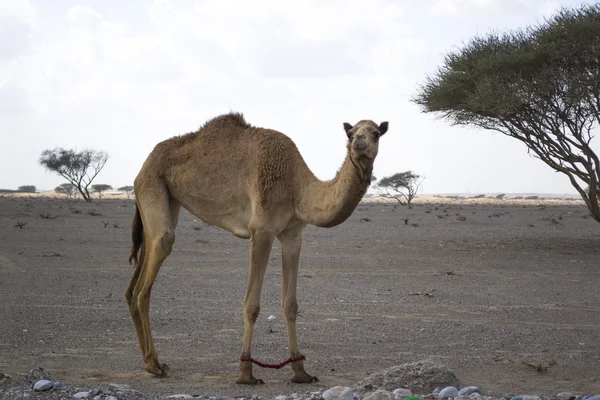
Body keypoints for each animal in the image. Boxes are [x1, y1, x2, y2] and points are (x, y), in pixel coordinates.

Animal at [126, 111, 390, 384]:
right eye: (350, 133)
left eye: (376, 133)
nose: (358, 142)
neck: (296, 187)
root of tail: (144, 165)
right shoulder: (261, 229)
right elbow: (251, 305)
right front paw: (246, 372)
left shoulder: (293, 234)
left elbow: (290, 305)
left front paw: (300, 371)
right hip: (152, 184)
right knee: (154, 263)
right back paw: (155, 364)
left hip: (165, 199)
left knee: (136, 279)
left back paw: (149, 362)